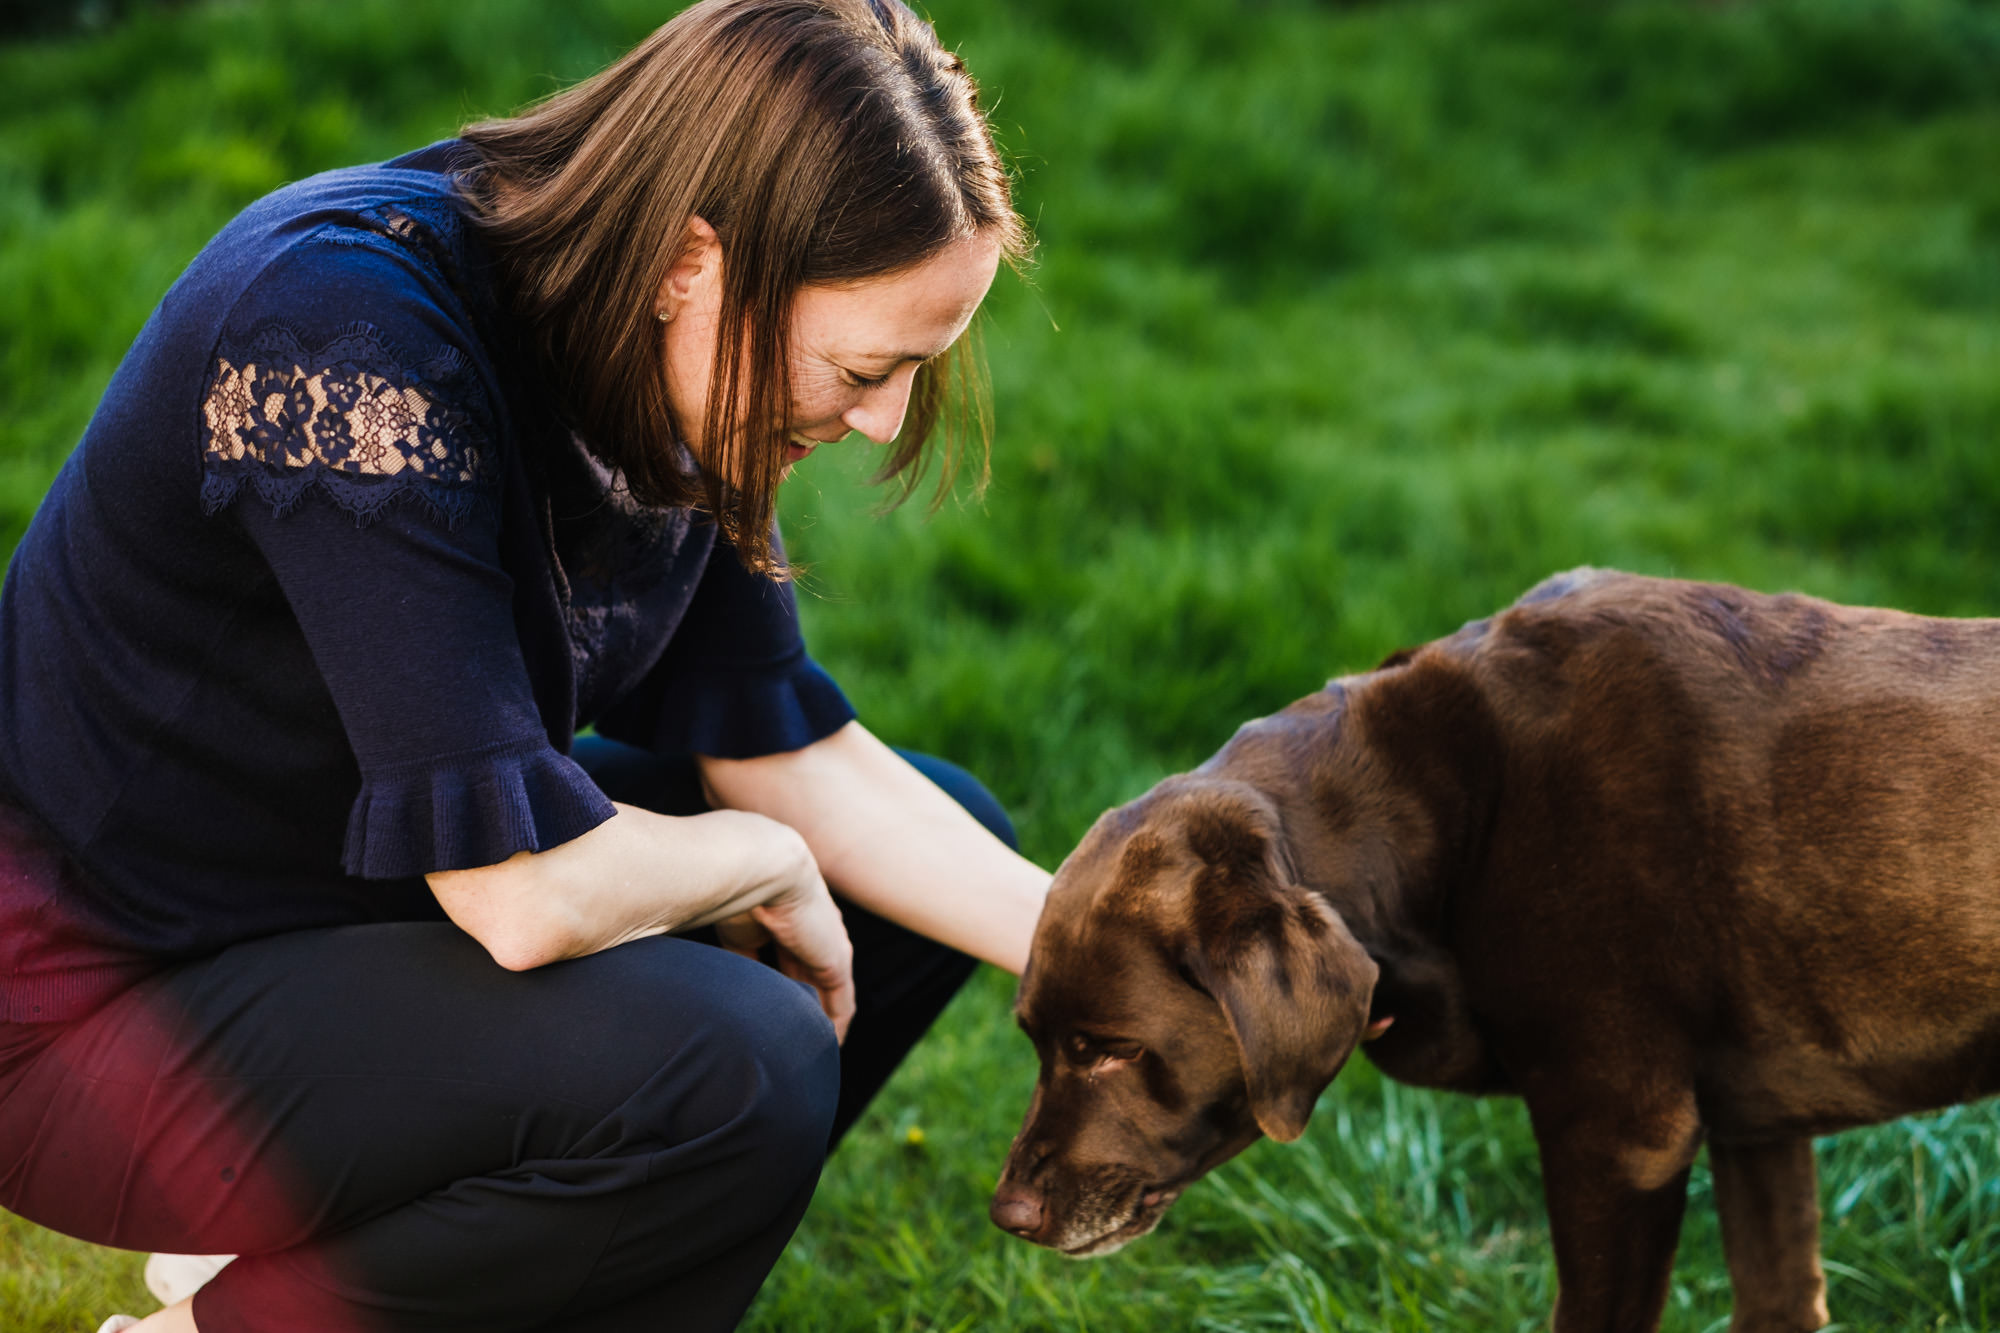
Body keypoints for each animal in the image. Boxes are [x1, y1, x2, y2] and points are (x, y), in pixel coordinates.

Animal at [1000, 568, 2000, 1328]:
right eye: (1036, 1041)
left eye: (1114, 1050)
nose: (1005, 1213)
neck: (1447, 817)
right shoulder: (1758, 1133)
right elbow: (1781, 1296)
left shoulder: (1621, 1140)